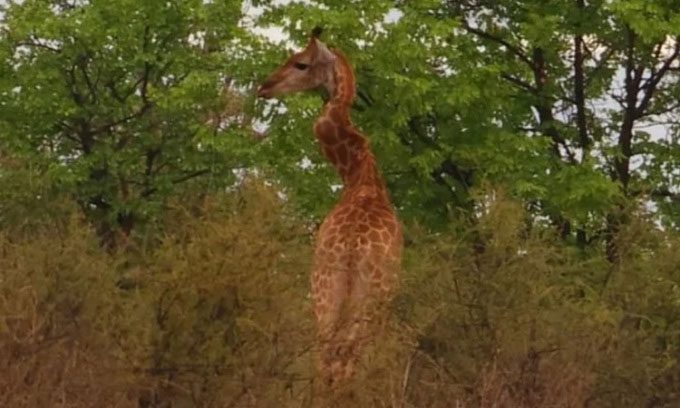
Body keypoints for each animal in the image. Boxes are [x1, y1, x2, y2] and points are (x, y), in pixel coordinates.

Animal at [258, 27, 402, 388]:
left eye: (301, 63)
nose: (264, 86)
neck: (359, 176)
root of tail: (352, 248)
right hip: (360, 300)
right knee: (341, 360)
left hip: (327, 294)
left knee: (328, 358)